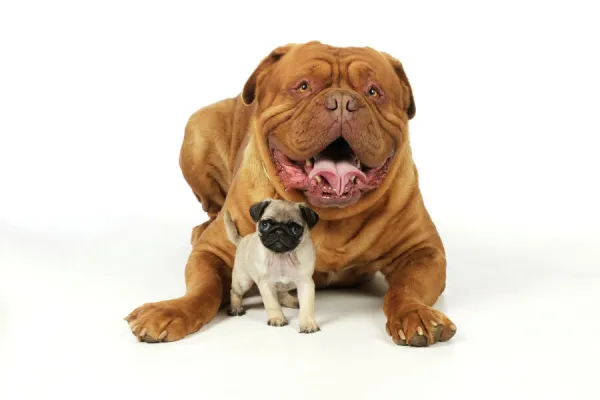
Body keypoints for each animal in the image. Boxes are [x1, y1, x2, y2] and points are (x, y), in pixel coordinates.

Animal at [223, 198, 322, 332]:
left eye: (296, 229)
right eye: (265, 225)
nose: (279, 230)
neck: (282, 257)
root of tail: (242, 240)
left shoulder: (305, 283)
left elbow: (306, 306)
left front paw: (308, 324)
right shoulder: (266, 284)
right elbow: (272, 304)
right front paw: (277, 318)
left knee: (282, 294)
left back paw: (294, 302)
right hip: (243, 281)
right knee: (234, 292)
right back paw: (236, 308)